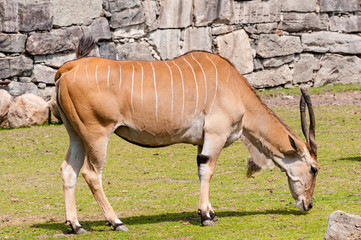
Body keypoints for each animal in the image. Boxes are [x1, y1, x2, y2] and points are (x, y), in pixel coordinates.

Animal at [52, 36, 320, 233]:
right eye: (314, 169)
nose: (308, 204)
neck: (234, 88)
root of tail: (69, 67)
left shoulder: (203, 141)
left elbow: (201, 170)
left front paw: (210, 212)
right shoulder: (215, 135)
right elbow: (207, 171)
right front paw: (206, 216)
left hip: (77, 136)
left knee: (68, 170)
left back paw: (75, 225)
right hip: (96, 135)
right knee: (91, 173)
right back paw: (116, 222)